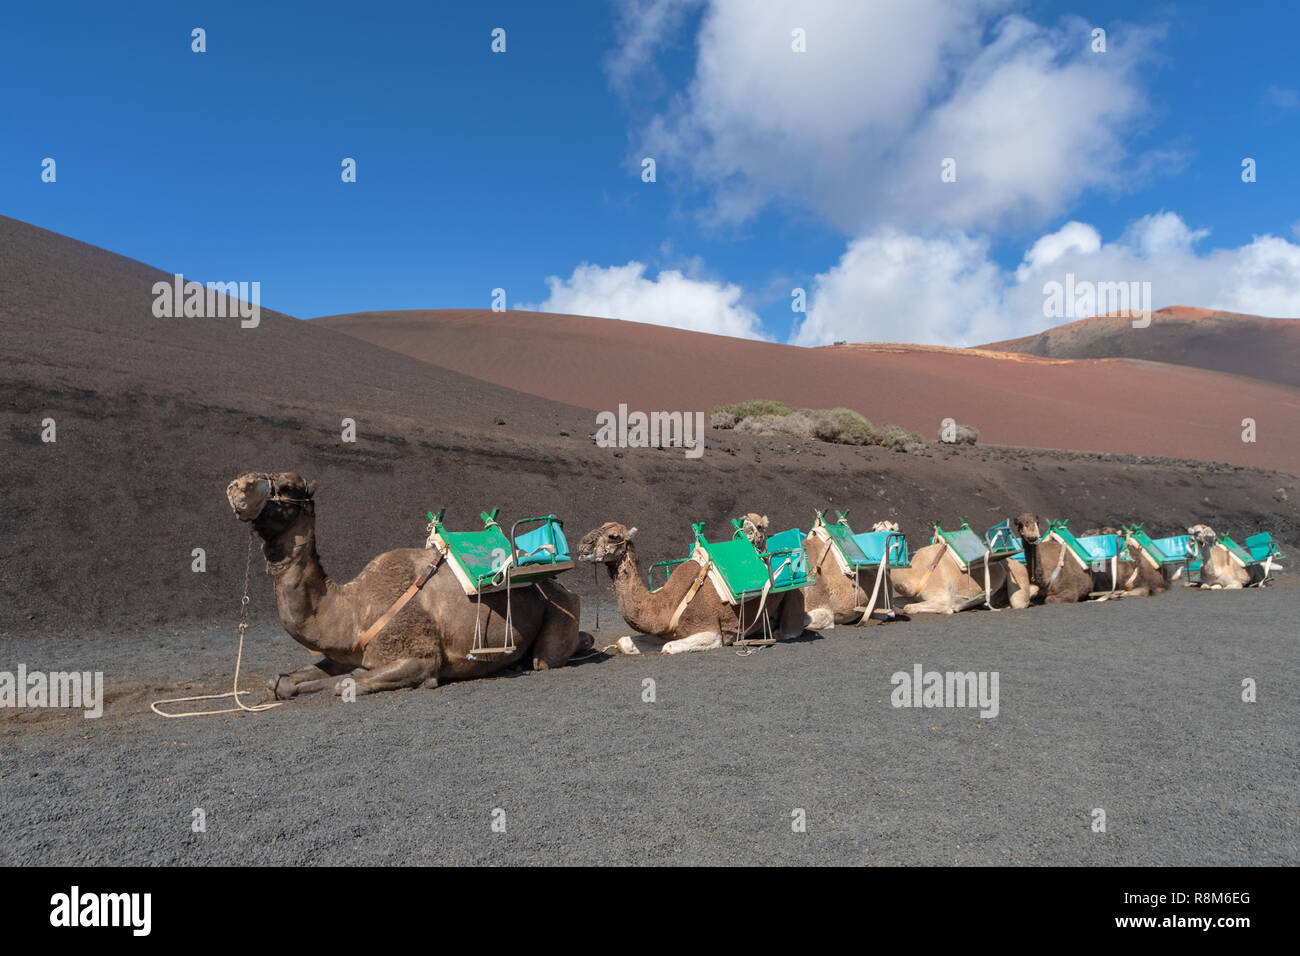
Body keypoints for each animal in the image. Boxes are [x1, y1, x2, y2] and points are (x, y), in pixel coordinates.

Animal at [226, 476, 592, 697]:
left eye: (288, 487)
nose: (236, 487)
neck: (354, 608)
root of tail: (563, 586)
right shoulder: (342, 652)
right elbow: (283, 682)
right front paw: (285, 684)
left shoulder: (419, 655)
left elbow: (347, 682)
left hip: (559, 610)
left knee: (546, 658)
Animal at [574, 520, 806, 655]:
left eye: (614, 536)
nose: (583, 545)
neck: (667, 603)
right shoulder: (666, 631)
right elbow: (625, 643)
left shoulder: (711, 631)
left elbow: (668, 648)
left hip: (794, 596)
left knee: (790, 631)